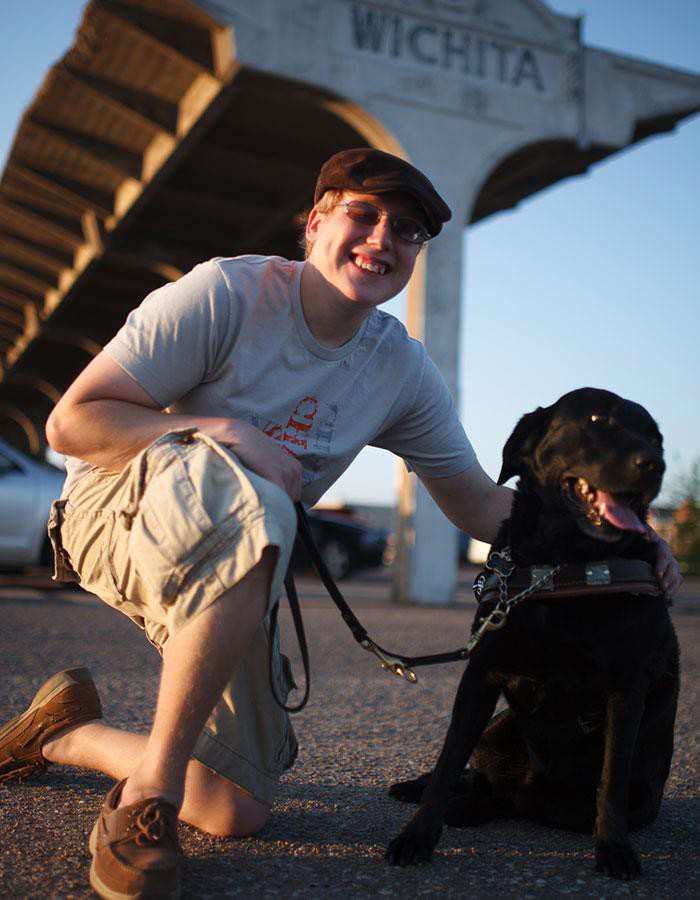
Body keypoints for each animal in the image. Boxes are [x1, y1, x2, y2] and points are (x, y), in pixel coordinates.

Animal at [386, 384, 676, 880]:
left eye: (656, 438)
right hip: (498, 728)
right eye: (598, 420)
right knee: (478, 775)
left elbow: (611, 781)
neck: (558, 568)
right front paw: (416, 836)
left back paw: (470, 807)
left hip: (627, 799)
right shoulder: (481, 675)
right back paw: (423, 790)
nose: (654, 465)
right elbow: (447, 762)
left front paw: (614, 849)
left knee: (521, 798)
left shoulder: (625, 690)